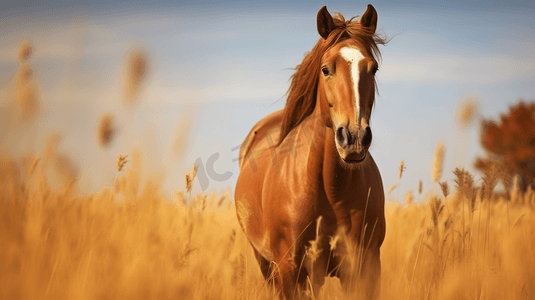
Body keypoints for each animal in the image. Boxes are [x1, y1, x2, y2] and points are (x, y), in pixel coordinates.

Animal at [237, 4, 388, 298]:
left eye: (373, 69)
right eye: (326, 69)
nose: (354, 138)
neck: (331, 189)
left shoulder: (365, 268)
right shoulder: (289, 270)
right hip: (268, 265)